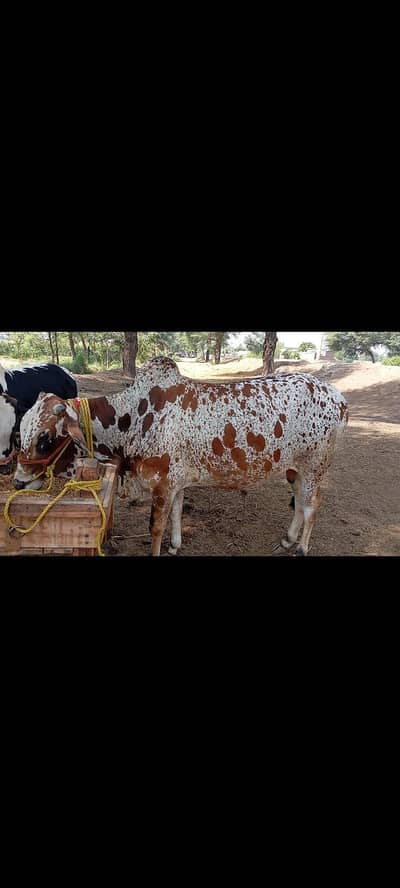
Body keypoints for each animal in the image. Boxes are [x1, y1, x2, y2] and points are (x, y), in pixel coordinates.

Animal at [13, 356, 348, 556]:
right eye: (20, 432)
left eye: (44, 438)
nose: (18, 481)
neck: (136, 417)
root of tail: (338, 398)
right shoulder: (175, 483)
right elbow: (176, 514)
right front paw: (175, 545)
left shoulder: (161, 485)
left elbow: (156, 526)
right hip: (296, 468)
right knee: (299, 501)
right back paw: (288, 539)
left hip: (315, 467)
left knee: (312, 505)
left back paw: (301, 547)